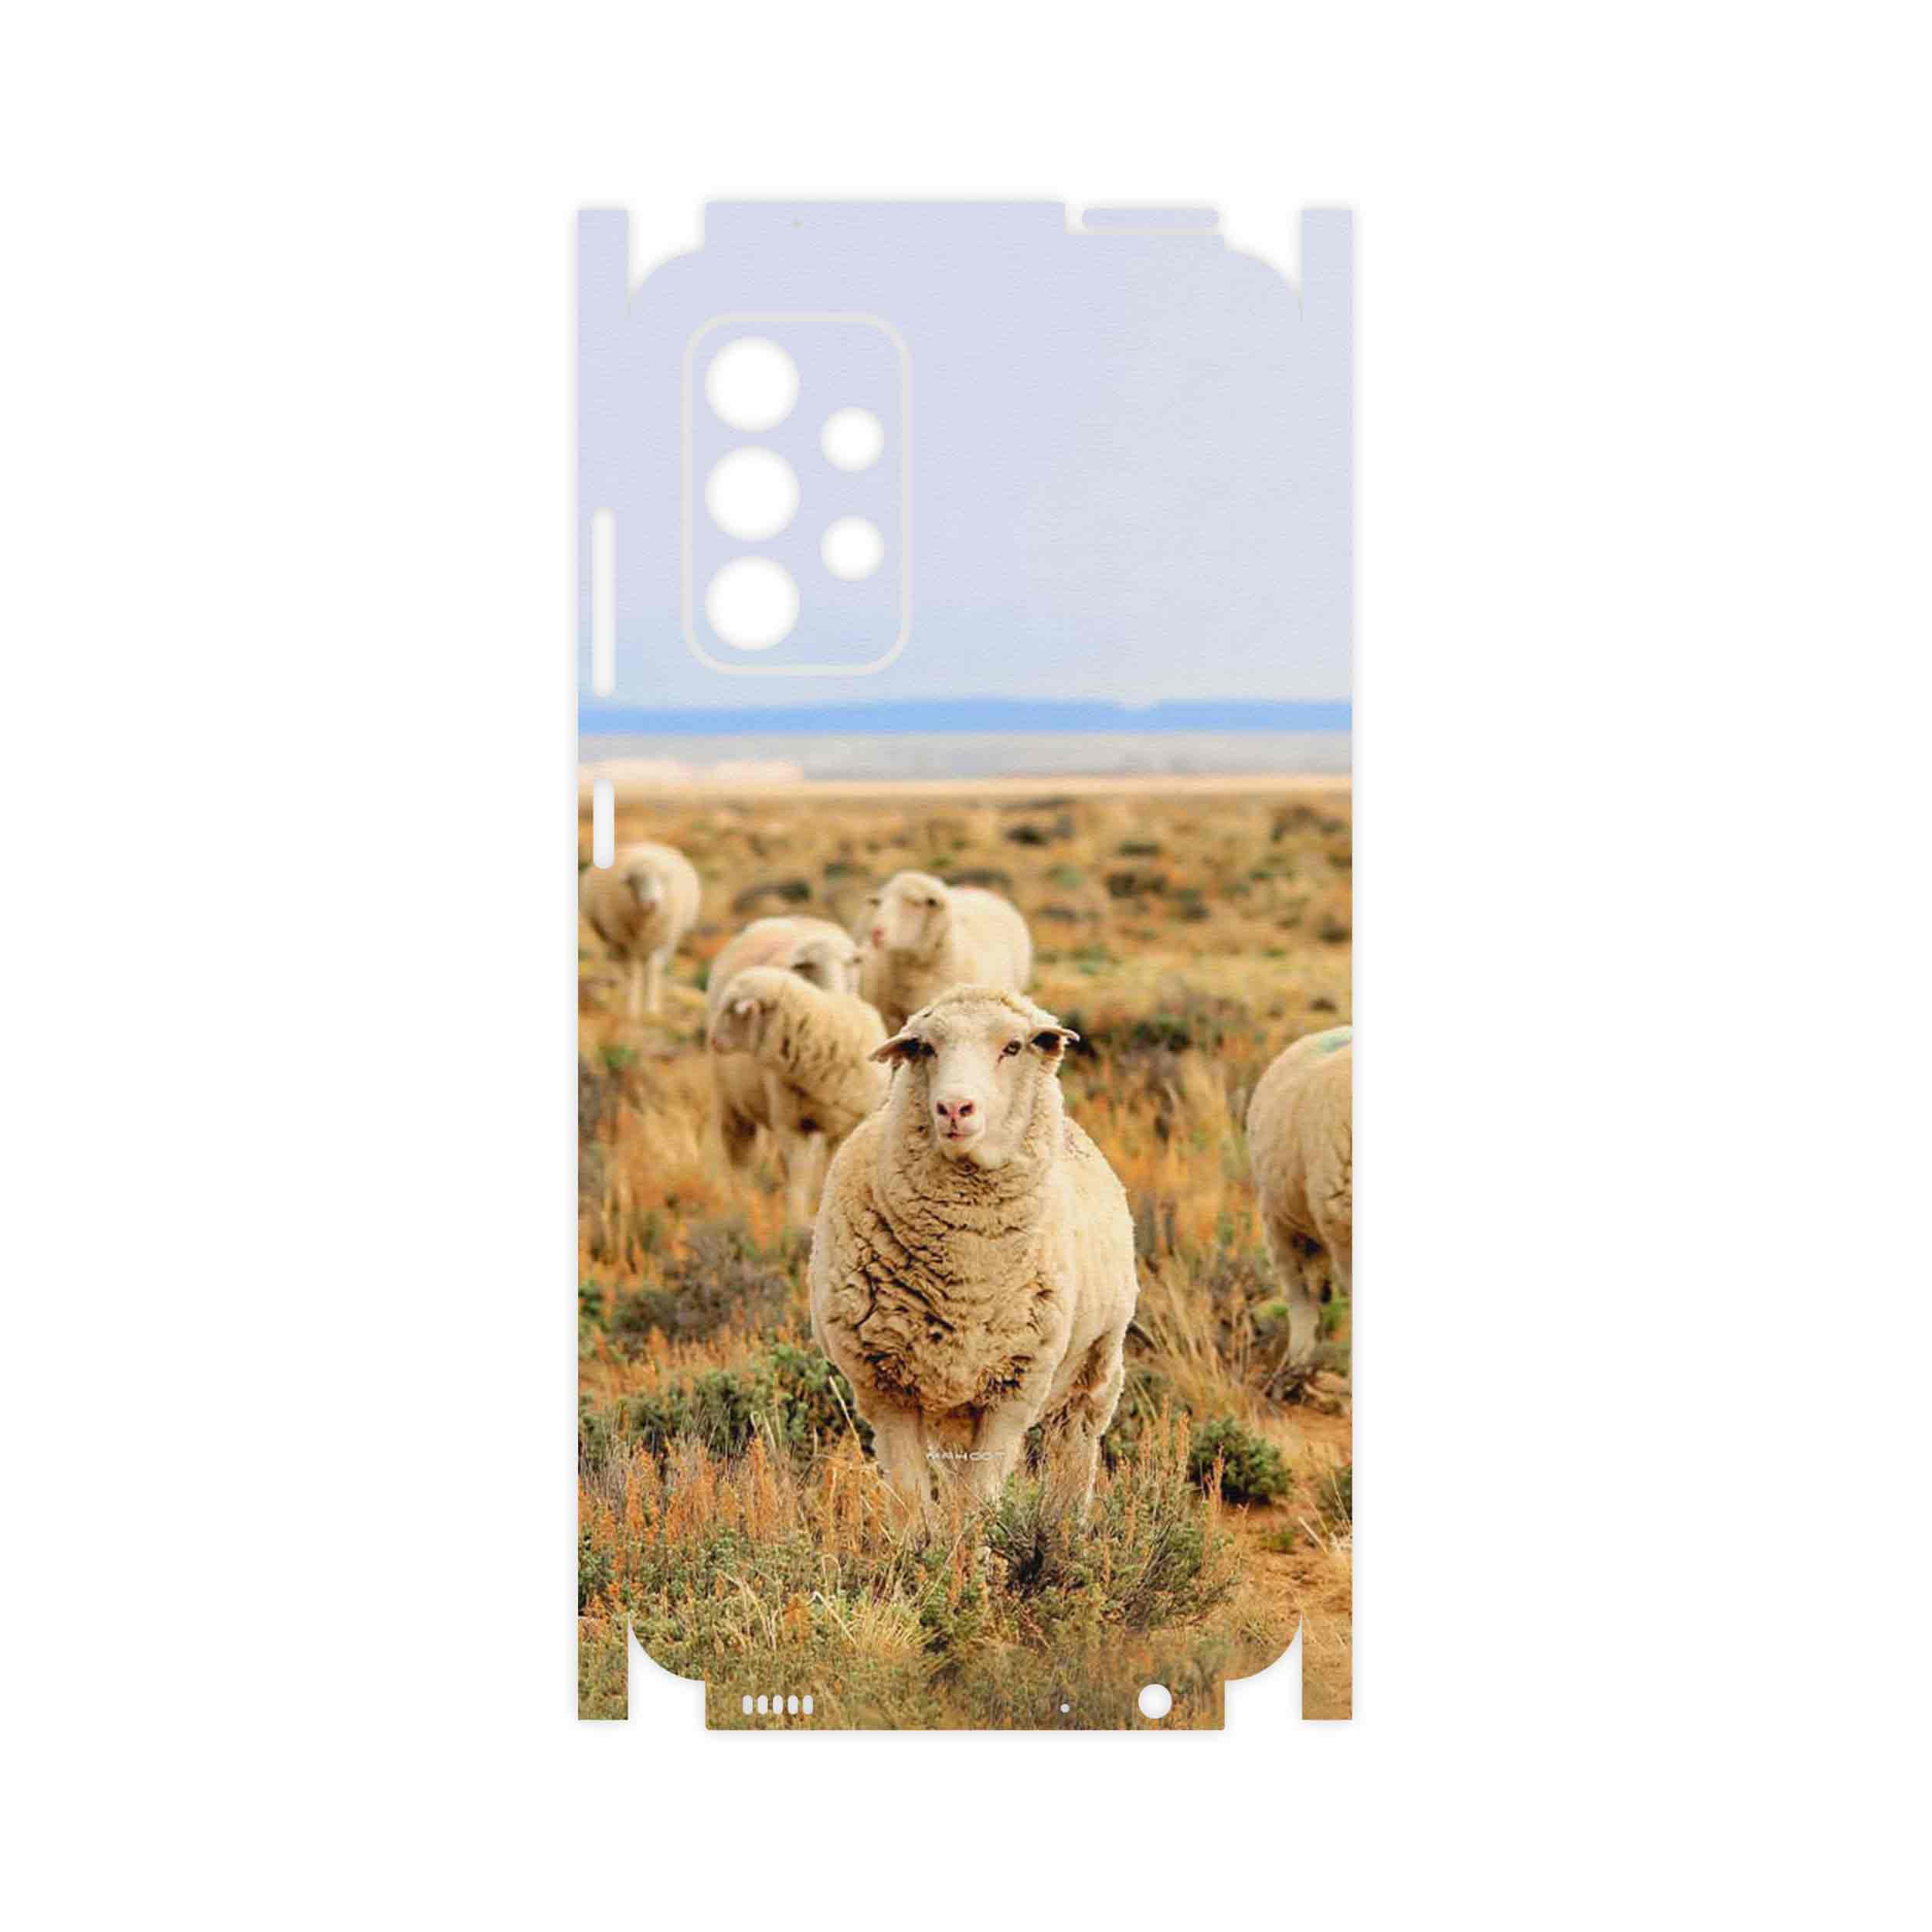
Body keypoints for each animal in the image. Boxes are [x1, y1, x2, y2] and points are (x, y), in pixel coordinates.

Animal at [579, 841, 701, 1019]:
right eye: (637, 880)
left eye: (661, 879)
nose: (652, 903)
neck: (646, 923)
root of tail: (645, 844)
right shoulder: (625, 942)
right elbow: (634, 972)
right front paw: (633, 1008)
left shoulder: (663, 941)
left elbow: (653, 970)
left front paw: (652, 1009)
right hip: (613, 940)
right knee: (621, 966)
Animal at [707, 966, 889, 1226]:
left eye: (733, 1010)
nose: (713, 1040)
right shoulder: (792, 1124)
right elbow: (799, 1173)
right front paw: (797, 1220)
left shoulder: (849, 1124)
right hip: (733, 1108)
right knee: (741, 1158)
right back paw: (741, 1206)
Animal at [809, 984, 1137, 1526]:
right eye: (925, 1047)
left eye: (1014, 1047)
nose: (954, 1108)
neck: (966, 1275)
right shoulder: (885, 1389)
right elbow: (913, 1503)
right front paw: (923, 1548)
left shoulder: (1013, 1390)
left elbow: (979, 1503)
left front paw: (976, 1550)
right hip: (953, 1407)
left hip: (1095, 1367)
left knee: (1074, 1448)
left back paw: (1066, 1527)